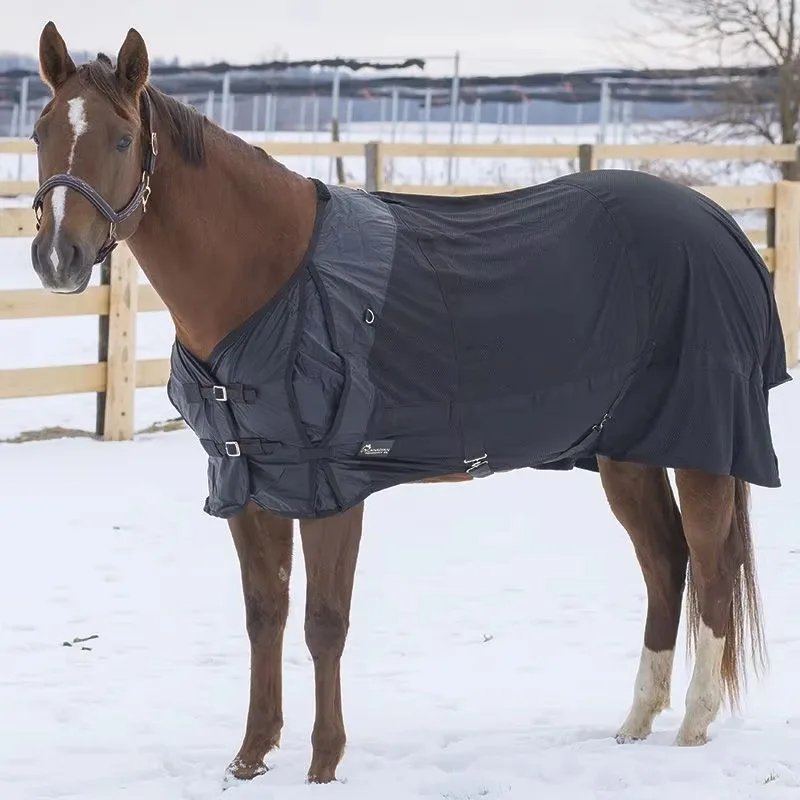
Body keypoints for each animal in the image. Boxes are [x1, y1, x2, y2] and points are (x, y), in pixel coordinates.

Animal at [29, 22, 790, 785]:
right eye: (39, 133)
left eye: (122, 140)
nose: (57, 259)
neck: (272, 278)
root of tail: (719, 224)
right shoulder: (247, 477)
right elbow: (264, 614)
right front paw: (249, 758)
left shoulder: (329, 485)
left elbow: (324, 622)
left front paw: (324, 764)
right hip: (628, 452)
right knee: (666, 564)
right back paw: (635, 723)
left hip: (699, 447)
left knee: (712, 570)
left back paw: (692, 726)